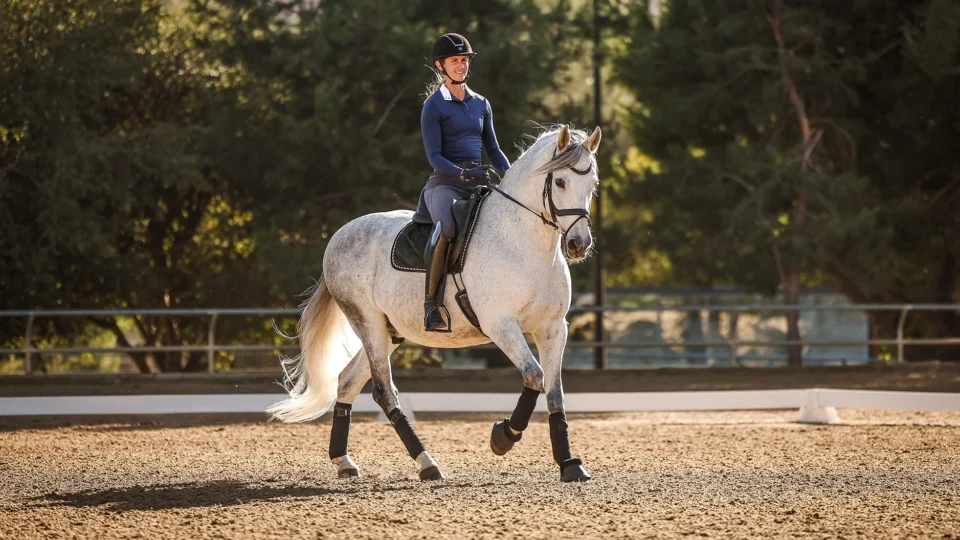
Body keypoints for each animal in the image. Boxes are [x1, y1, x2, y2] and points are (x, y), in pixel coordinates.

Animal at [268, 124, 601, 483]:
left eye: (592, 185)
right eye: (561, 182)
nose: (579, 244)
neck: (525, 242)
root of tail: (338, 236)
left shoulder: (553, 328)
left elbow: (554, 391)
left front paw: (569, 464)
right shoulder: (502, 326)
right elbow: (534, 377)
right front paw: (502, 437)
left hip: (389, 332)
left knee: (347, 381)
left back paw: (343, 460)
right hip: (367, 323)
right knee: (383, 390)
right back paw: (427, 462)